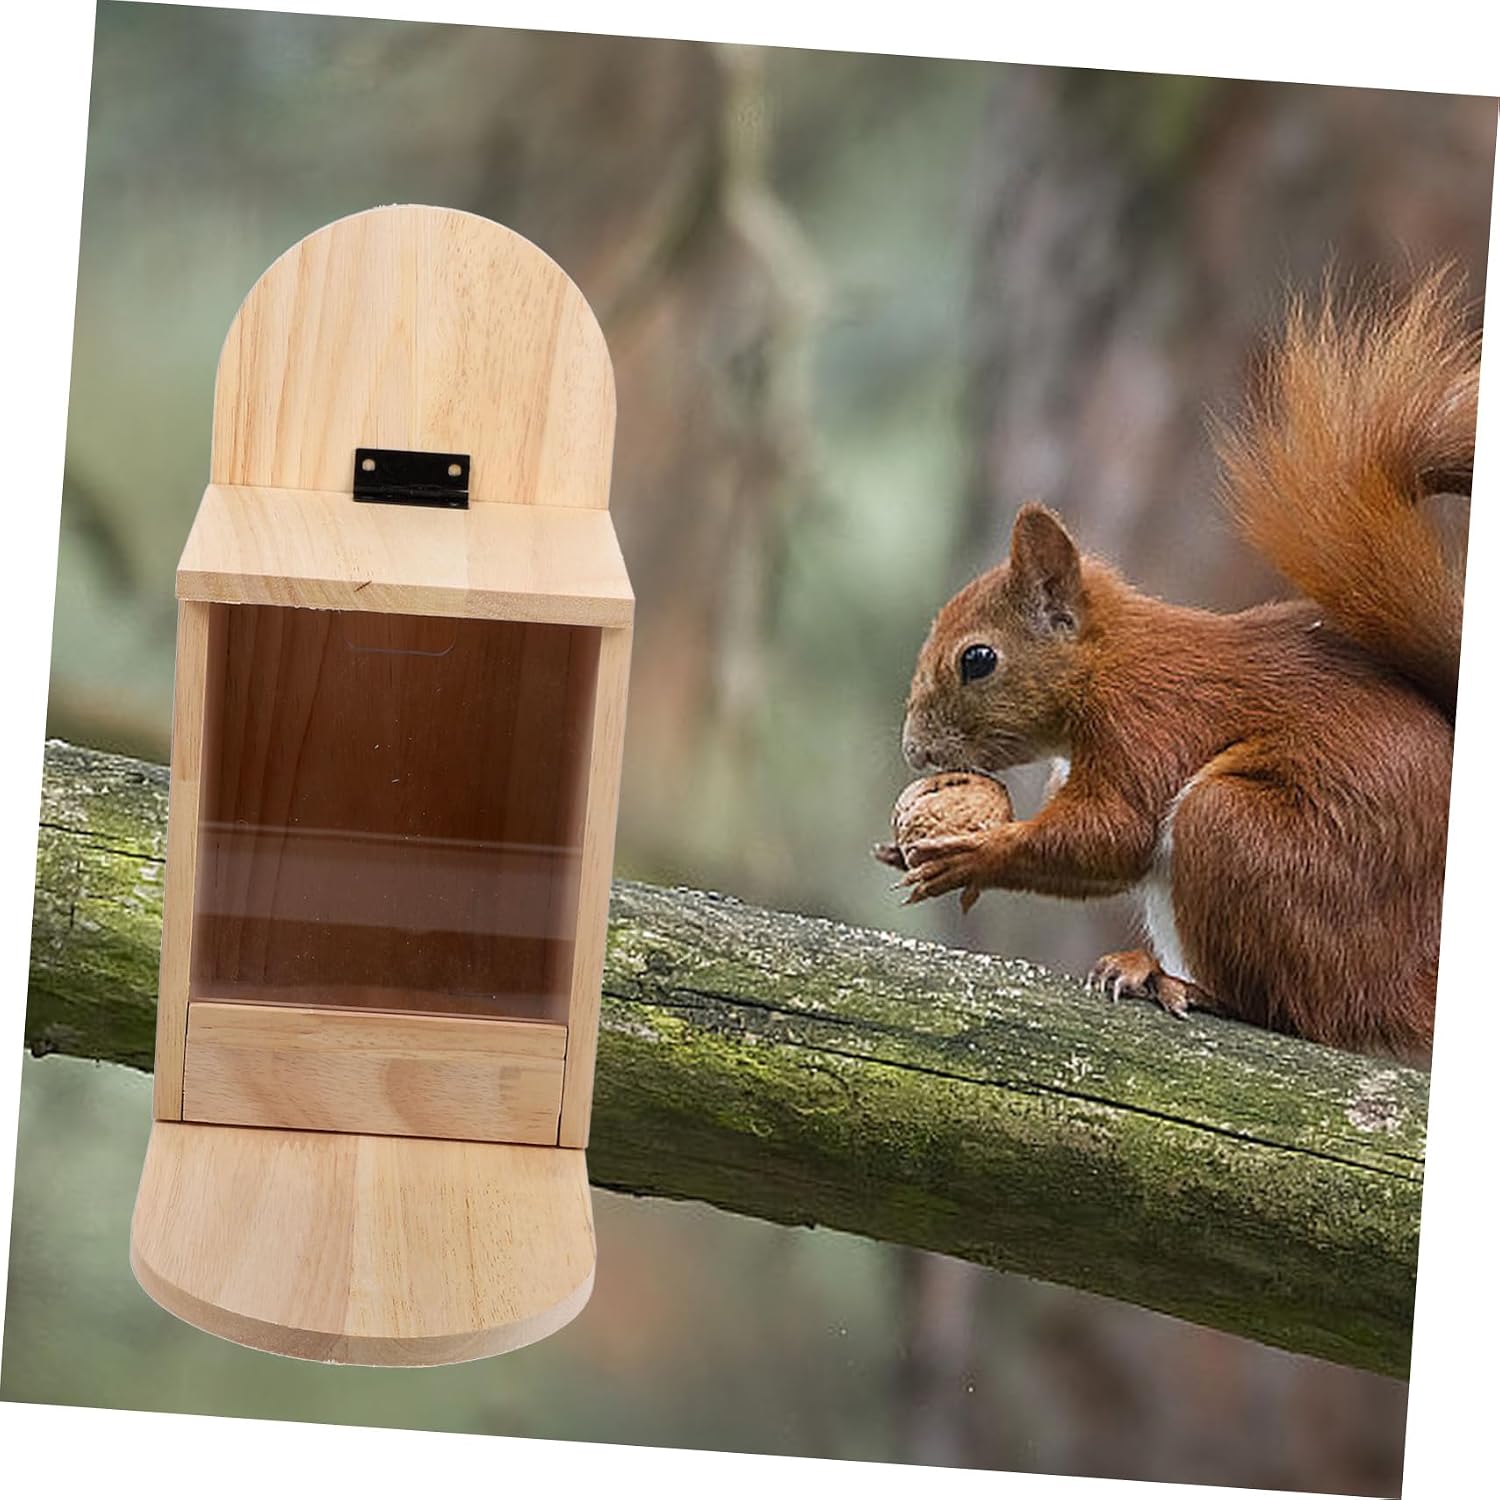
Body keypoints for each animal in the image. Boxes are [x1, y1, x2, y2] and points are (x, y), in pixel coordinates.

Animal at [881, 270, 1479, 1064]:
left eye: (978, 660)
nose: (915, 752)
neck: (1109, 665)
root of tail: (1410, 983)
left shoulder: (1149, 723)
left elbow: (1117, 833)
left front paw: (977, 856)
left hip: (1239, 836)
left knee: (1295, 1013)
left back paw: (1180, 984)